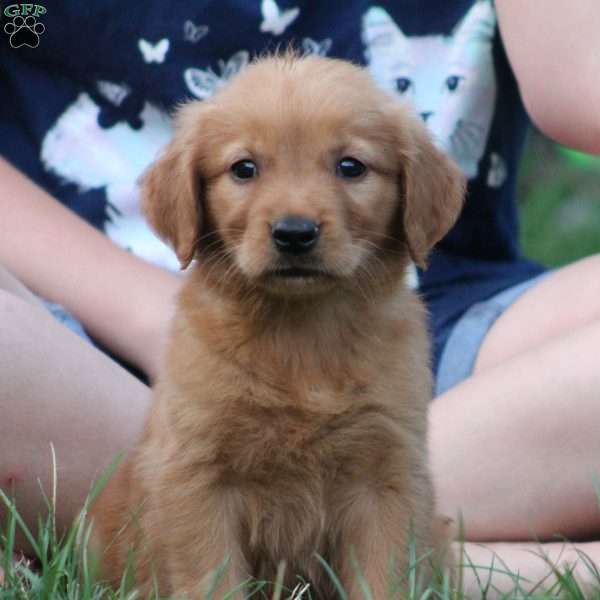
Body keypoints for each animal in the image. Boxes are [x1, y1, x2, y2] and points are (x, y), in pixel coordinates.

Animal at [90, 54, 464, 596]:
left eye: (351, 166)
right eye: (244, 168)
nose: (294, 233)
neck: (301, 335)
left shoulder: (388, 477)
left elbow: (382, 576)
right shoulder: (198, 477)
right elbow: (213, 578)